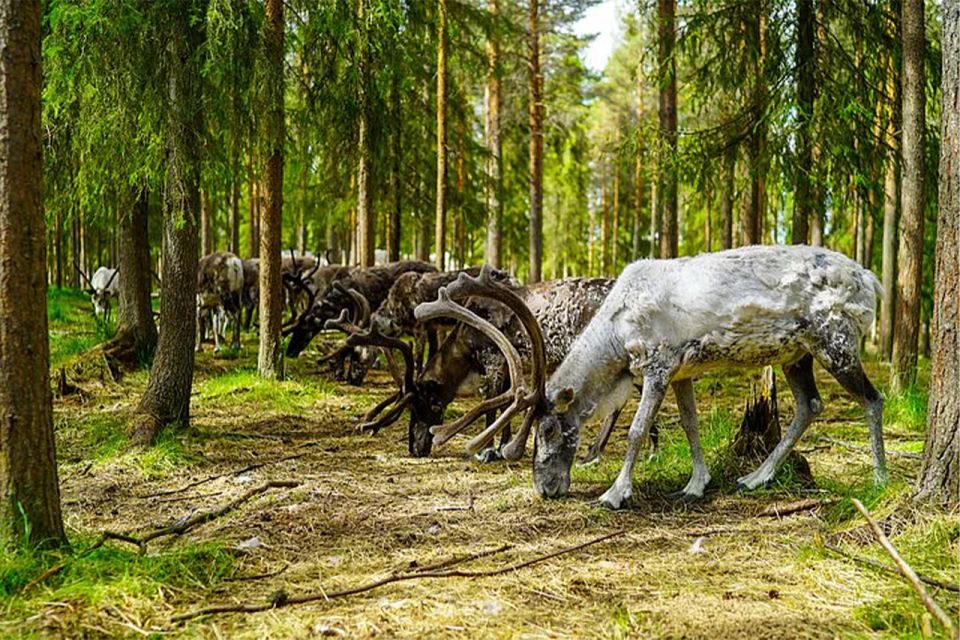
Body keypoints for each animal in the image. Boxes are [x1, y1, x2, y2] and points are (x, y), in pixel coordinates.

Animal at [422, 246, 888, 509]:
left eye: (550, 427)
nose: (545, 489)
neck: (617, 332)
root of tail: (872, 279)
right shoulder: (684, 371)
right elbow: (690, 424)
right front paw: (696, 485)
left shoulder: (659, 365)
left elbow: (637, 430)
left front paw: (614, 494)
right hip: (798, 354)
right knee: (810, 405)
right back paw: (756, 477)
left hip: (836, 342)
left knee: (872, 399)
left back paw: (880, 477)